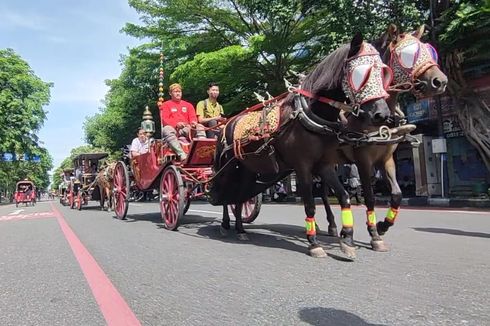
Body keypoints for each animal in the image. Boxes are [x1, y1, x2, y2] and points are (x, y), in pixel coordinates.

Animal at [209, 32, 392, 258]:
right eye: (361, 74)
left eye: (383, 73)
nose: (382, 114)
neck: (309, 113)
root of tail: (227, 124)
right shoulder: (303, 165)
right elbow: (310, 204)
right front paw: (314, 243)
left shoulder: (325, 165)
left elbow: (344, 196)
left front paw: (347, 239)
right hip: (226, 168)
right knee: (225, 194)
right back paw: (226, 225)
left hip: (246, 169)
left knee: (239, 195)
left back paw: (241, 229)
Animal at [320, 24, 450, 250]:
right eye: (408, 55)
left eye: (428, 51)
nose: (440, 81)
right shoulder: (362, 159)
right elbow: (370, 197)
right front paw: (374, 234)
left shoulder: (386, 158)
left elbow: (397, 194)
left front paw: (382, 226)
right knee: (321, 191)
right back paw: (333, 225)